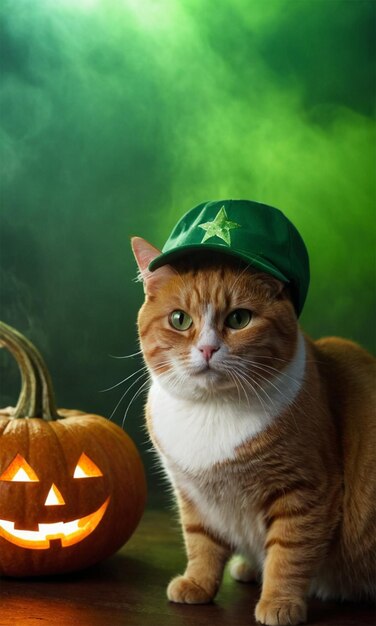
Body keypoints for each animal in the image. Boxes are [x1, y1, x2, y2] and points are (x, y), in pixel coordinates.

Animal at [131, 236, 374, 620]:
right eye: (179, 319)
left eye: (239, 318)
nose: (207, 348)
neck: (211, 410)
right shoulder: (193, 497)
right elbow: (201, 541)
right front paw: (197, 583)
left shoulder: (306, 490)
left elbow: (289, 552)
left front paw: (279, 602)